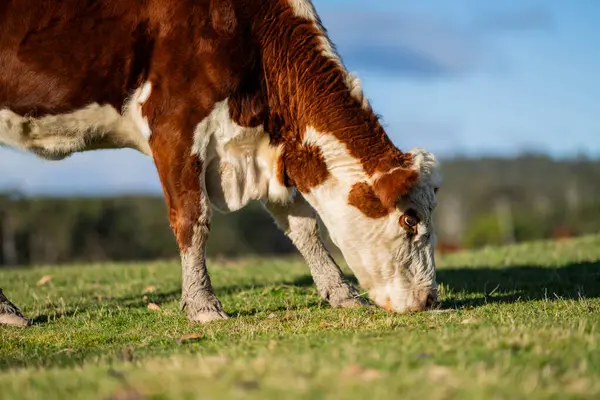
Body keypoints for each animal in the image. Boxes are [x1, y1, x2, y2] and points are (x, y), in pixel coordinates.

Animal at [0, 0, 440, 324]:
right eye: (410, 220)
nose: (430, 300)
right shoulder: (175, 123)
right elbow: (193, 218)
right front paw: (203, 306)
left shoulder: (267, 148)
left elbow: (303, 225)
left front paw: (341, 293)